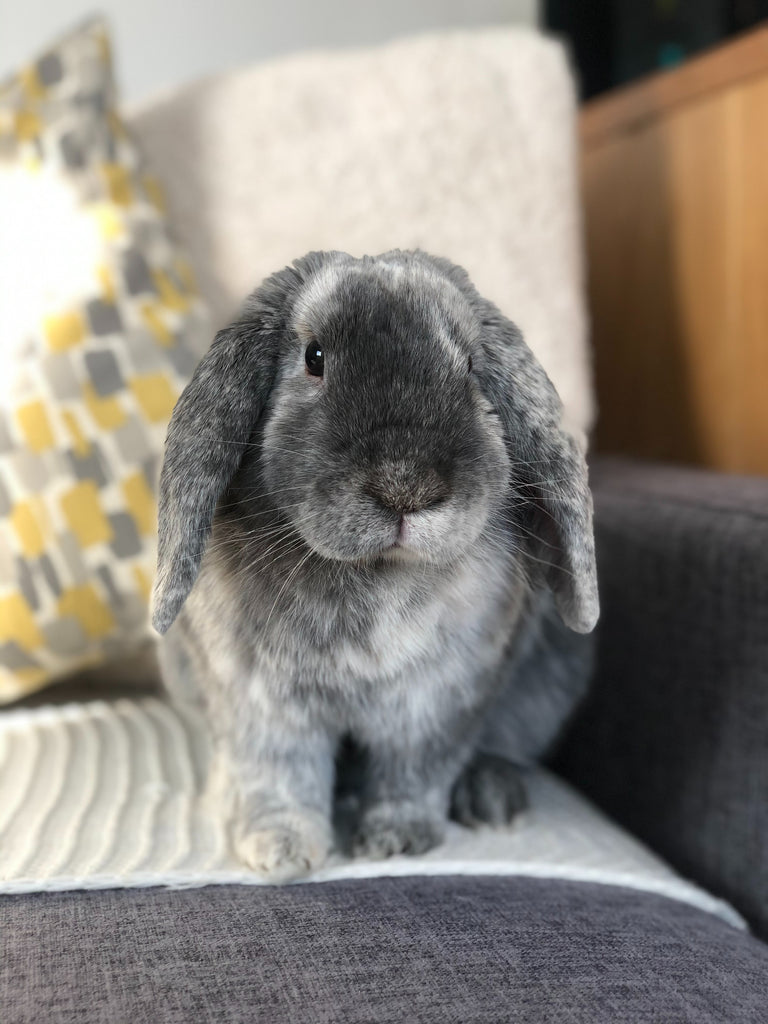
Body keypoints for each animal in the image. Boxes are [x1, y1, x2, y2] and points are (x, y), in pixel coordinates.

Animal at [151, 249, 602, 880]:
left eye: (470, 366)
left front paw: (397, 840)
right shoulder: (261, 703)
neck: (378, 571)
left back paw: (491, 796)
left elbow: (412, 776)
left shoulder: (434, 703)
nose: (405, 487)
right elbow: (279, 778)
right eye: (314, 358)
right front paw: (281, 851)